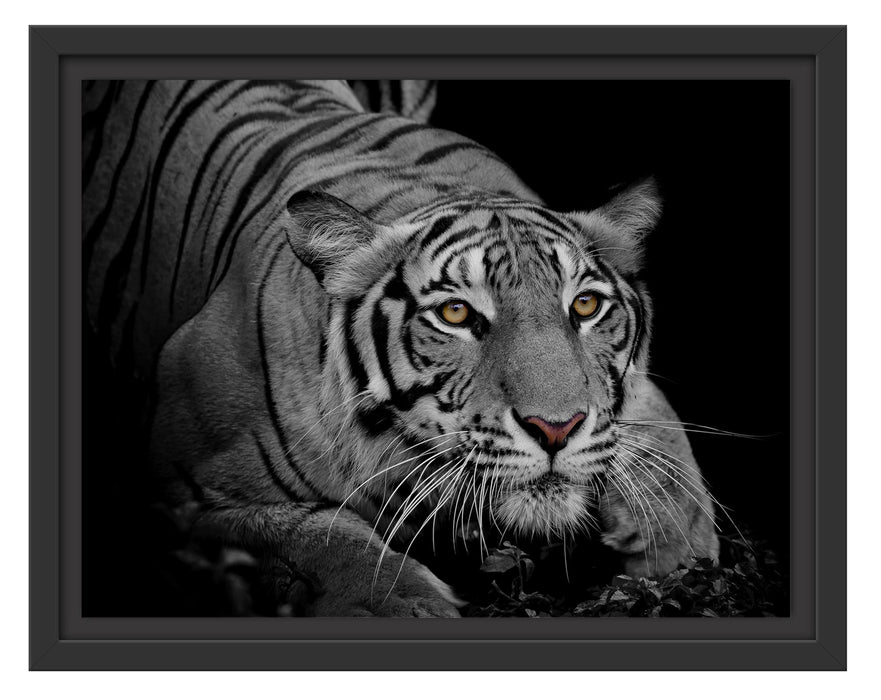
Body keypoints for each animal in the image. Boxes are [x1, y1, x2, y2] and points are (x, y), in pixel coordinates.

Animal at [83, 79, 720, 617]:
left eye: (585, 306)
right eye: (456, 314)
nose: (556, 428)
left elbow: (661, 441)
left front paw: (678, 550)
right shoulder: (184, 496)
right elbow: (326, 542)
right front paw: (407, 606)